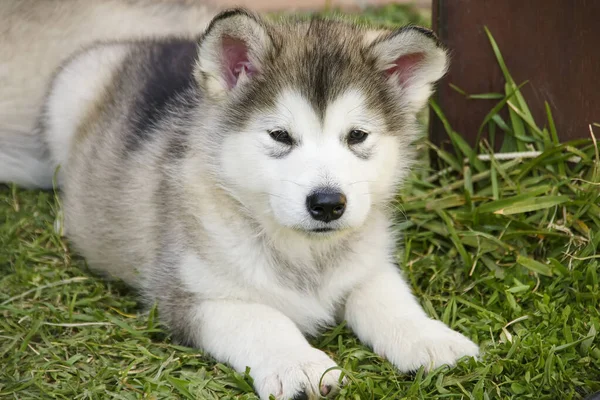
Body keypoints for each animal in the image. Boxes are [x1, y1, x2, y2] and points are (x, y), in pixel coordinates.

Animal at [1, 7, 478, 400]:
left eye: (357, 136)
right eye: (280, 136)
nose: (328, 204)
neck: (303, 254)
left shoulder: (368, 263)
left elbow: (388, 297)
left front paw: (429, 338)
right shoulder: (189, 297)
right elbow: (263, 320)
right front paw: (299, 365)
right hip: (70, 93)